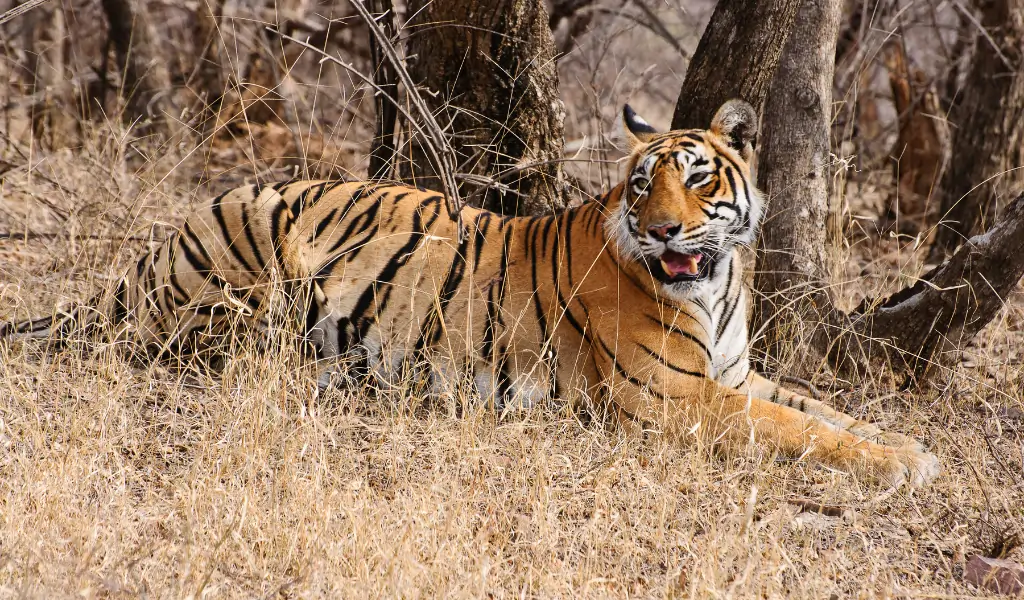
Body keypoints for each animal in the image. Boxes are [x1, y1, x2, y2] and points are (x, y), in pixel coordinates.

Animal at [1, 100, 939, 488]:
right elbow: (801, 432)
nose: (667, 232)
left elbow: (825, 412)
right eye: (644, 187)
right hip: (248, 259)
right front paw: (900, 465)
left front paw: (910, 448)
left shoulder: (735, 375)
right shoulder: (672, 397)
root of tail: (154, 252)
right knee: (196, 348)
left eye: (699, 179)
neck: (717, 285)